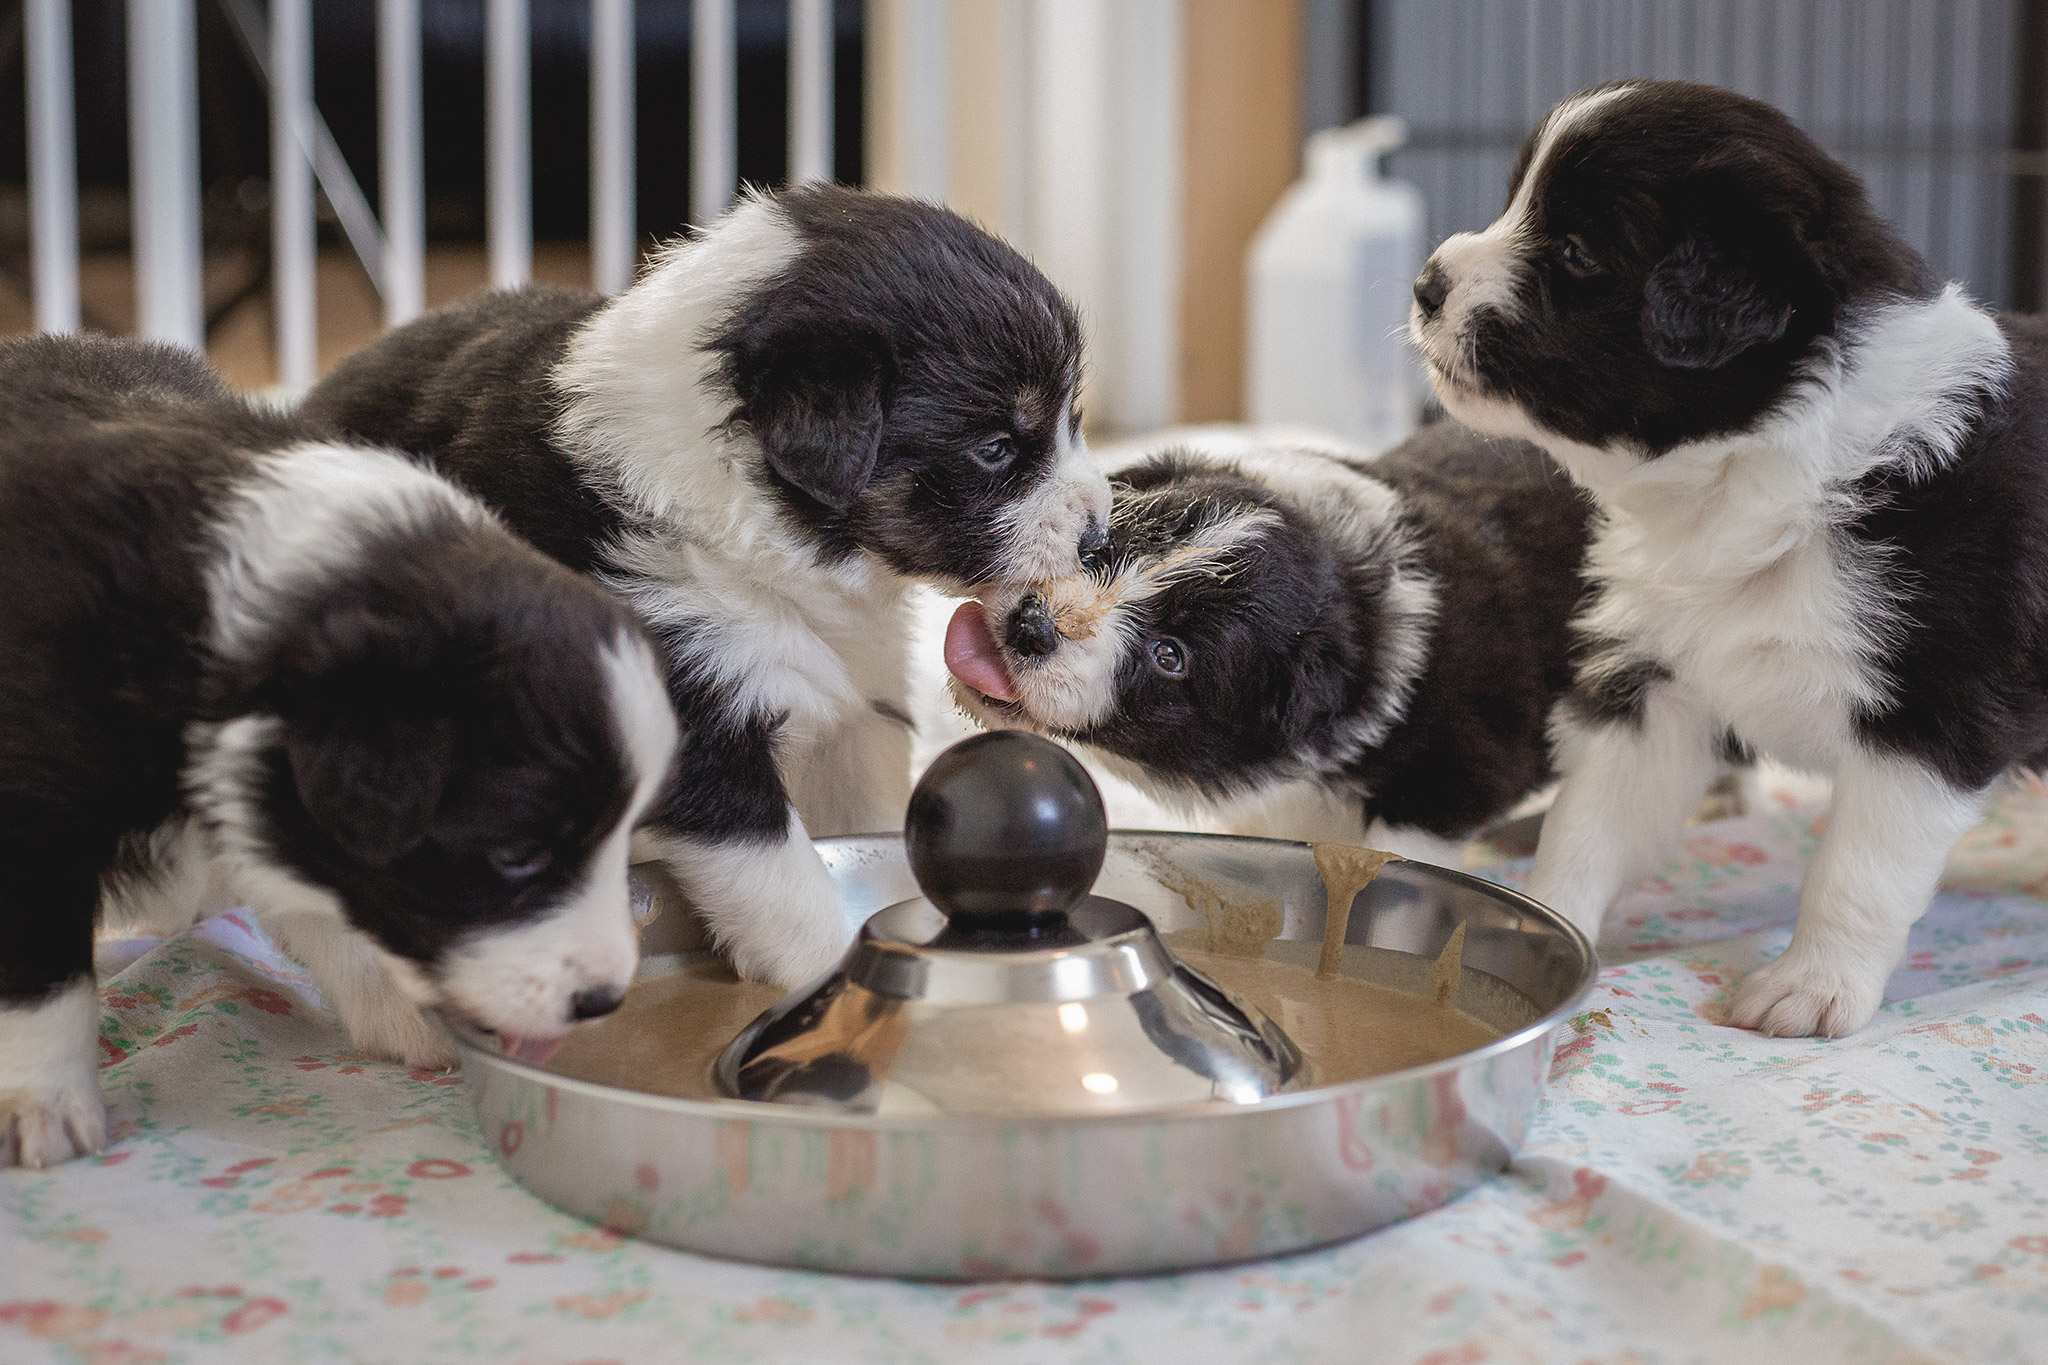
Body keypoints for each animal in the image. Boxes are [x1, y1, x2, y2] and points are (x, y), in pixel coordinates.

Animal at [0, 335, 684, 1170]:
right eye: (517, 856)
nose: (604, 999)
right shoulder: (32, 803)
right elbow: (42, 969)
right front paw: (44, 1101)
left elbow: (330, 899)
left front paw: (404, 1012)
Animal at [301, 184, 1105, 994]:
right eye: (996, 448)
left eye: (1072, 419)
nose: (1099, 536)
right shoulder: (690, 711)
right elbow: (780, 878)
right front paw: (822, 976)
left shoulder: (855, 703)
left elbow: (866, 810)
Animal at [1409, 77, 2048, 1035]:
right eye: (1517, 200)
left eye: (1575, 251)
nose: (1424, 286)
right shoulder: (1653, 682)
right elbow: (1585, 825)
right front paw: (1538, 927)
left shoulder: (1934, 709)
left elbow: (1856, 871)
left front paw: (1811, 987)